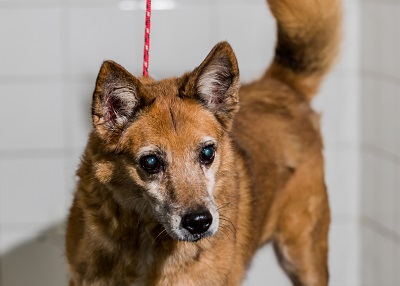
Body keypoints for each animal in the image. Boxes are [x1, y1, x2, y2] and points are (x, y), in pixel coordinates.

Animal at [65, 0, 340, 284]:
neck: (147, 237)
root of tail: (279, 85)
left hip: (303, 257)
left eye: (207, 153)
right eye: (150, 162)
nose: (199, 222)